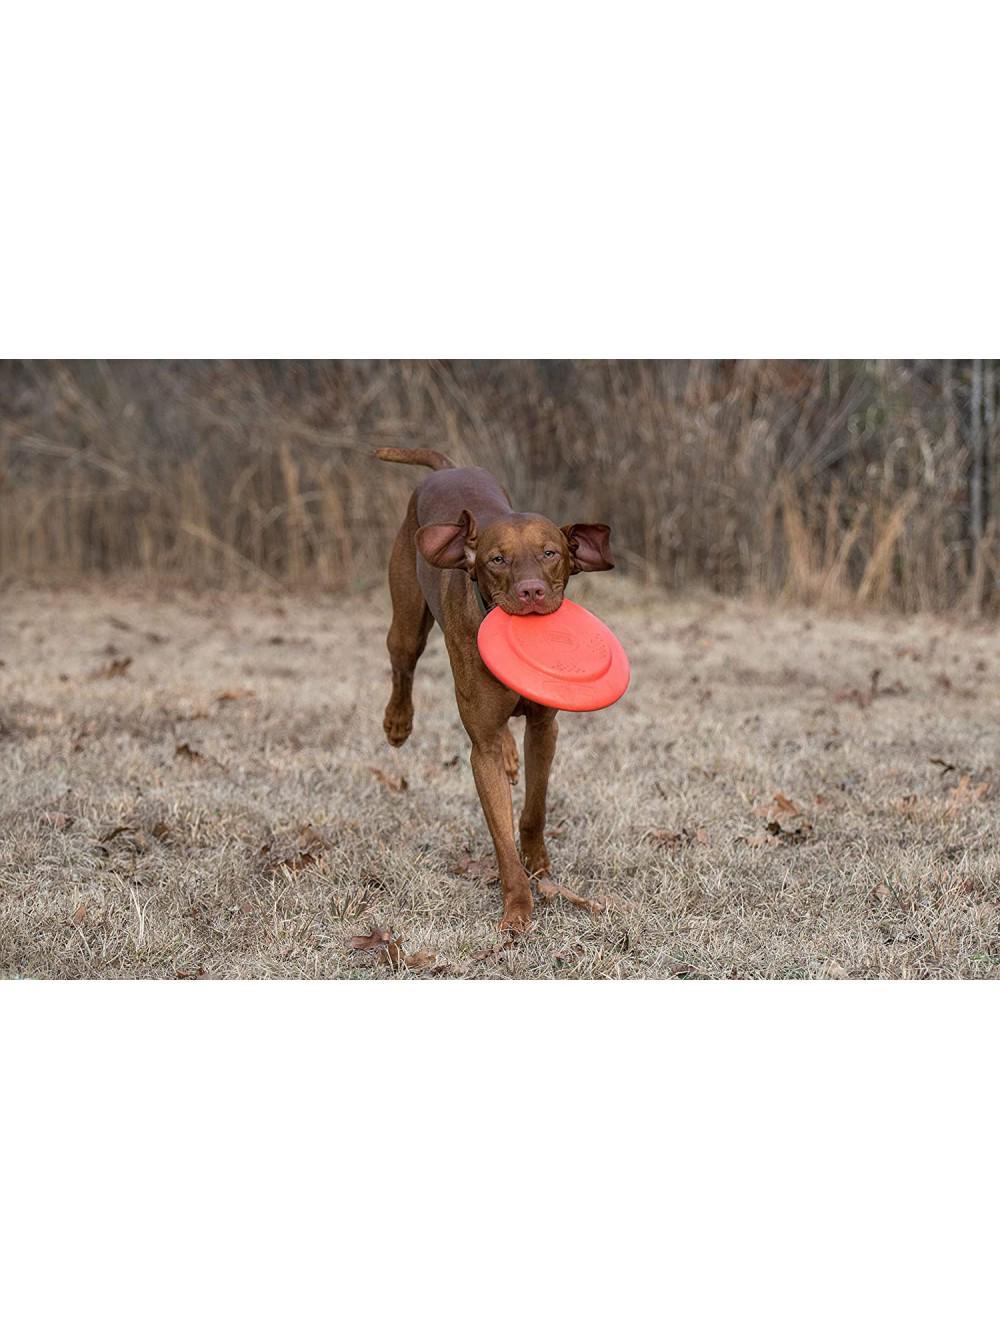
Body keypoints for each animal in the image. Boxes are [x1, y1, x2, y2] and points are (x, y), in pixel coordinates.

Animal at [372, 450, 608, 932]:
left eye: (550, 553)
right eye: (497, 560)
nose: (531, 591)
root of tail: (448, 467)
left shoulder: (544, 728)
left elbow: (535, 807)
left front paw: (538, 861)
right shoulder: (479, 750)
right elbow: (500, 833)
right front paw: (517, 907)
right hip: (407, 621)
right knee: (402, 664)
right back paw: (397, 723)